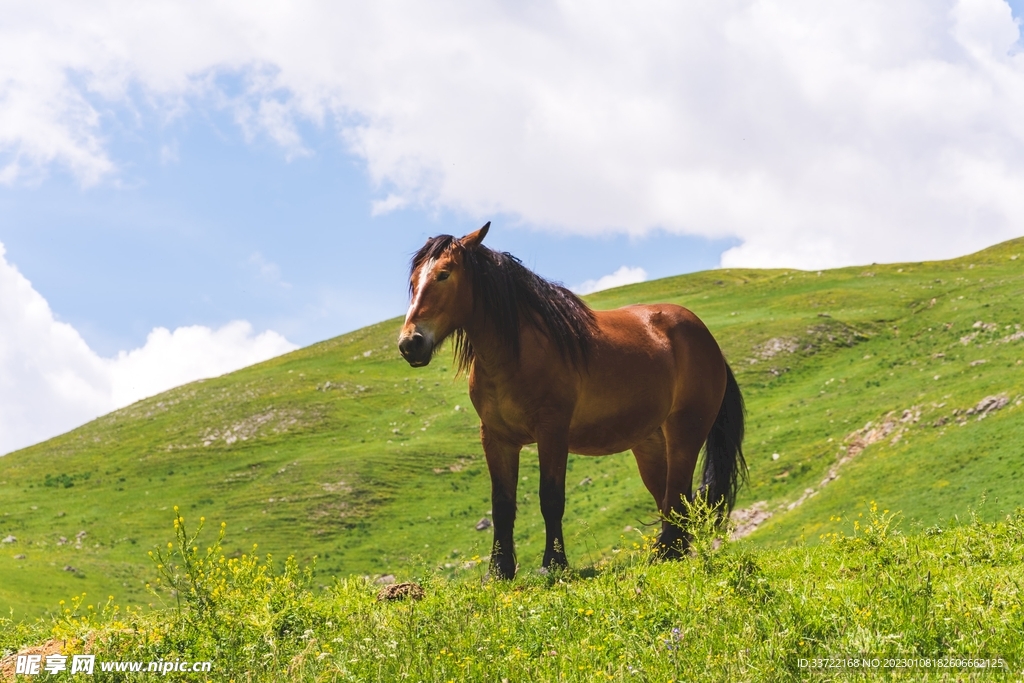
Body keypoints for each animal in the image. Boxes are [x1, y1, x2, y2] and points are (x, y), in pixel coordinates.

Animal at [398, 222, 746, 580]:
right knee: (669, 499)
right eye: (413, 280)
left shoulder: (552, 432)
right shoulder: (496, 438)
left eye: (444, 274)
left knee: (676, 494)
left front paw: (553, 564)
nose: (411, 343)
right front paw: (499, 571)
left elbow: (550, 498)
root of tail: (708, 341)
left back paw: (666, 554)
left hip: (684, 434)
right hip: (650, 444)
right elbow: (502, 504)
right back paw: (670, 554)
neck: (517, 353)